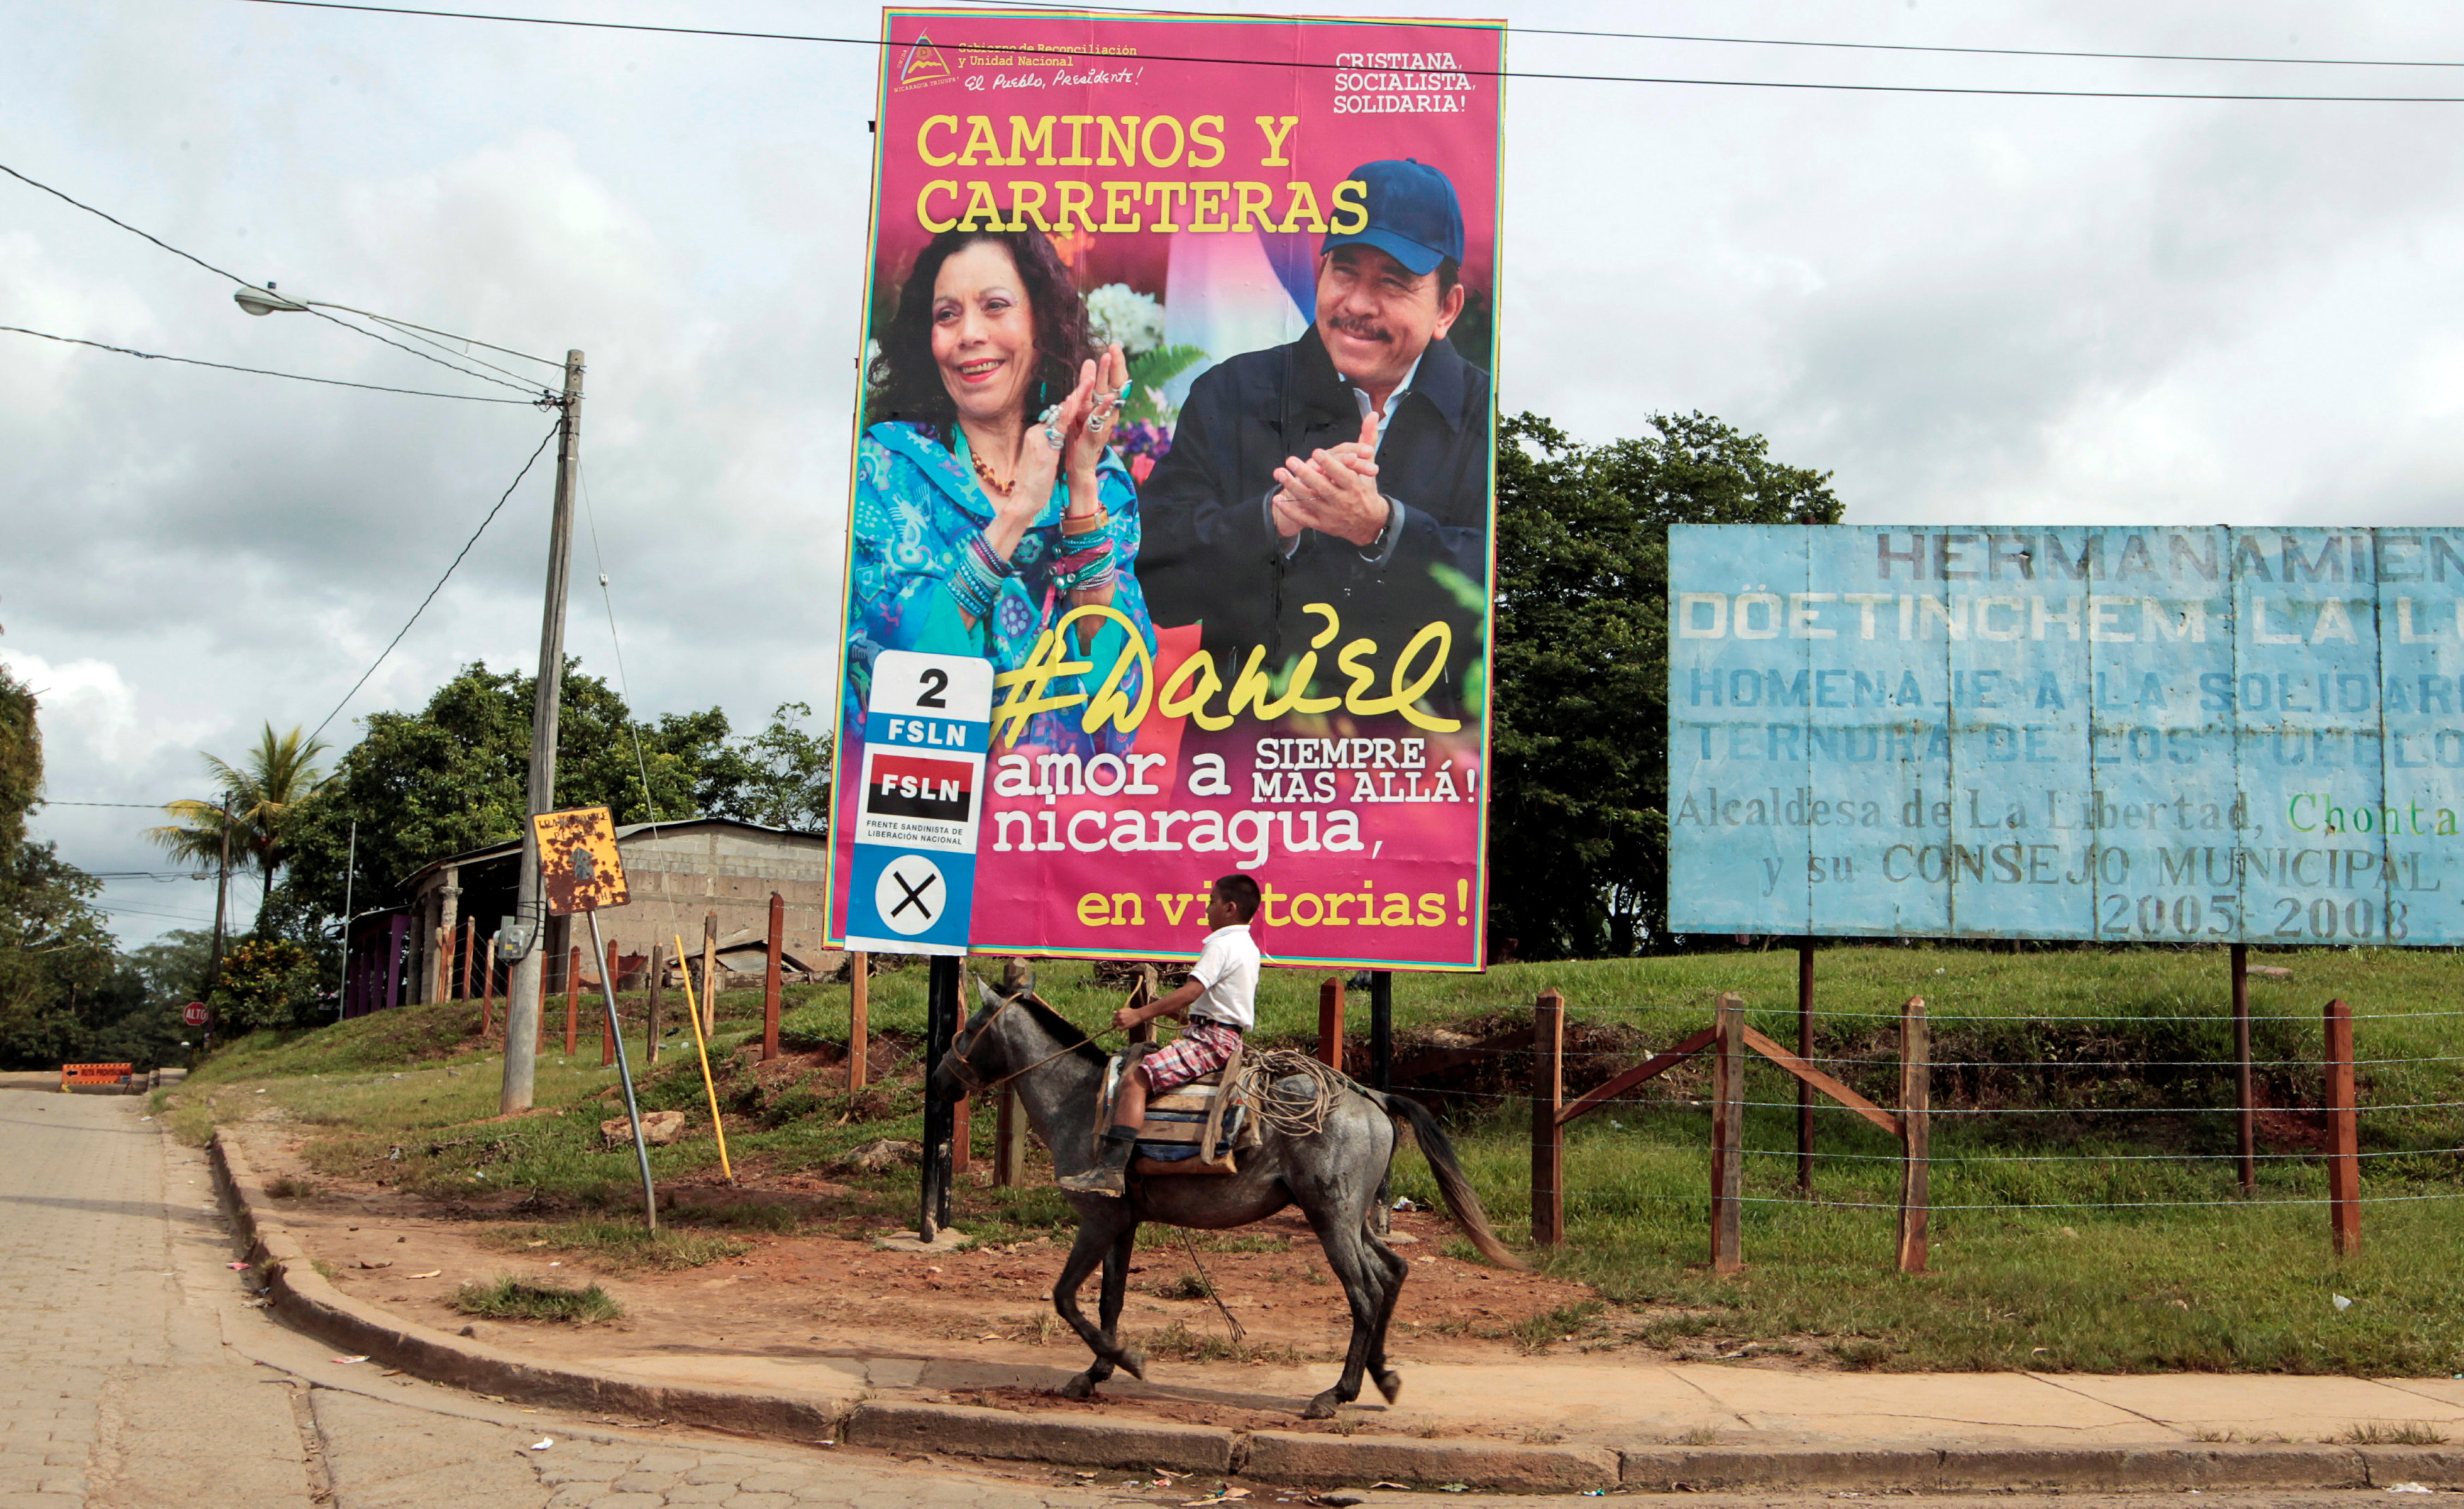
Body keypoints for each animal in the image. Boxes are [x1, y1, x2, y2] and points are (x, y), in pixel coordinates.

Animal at [936, 976, 1518, 1410]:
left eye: (969, 1027)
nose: (942, 1080)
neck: (1081, 1101)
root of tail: (1371, 1094)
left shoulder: (1098, 1219)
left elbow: (1064, 1295)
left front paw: (1126, 1360)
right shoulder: (1123, 1222)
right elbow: (1109, 1298)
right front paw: (1098, 1369)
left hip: (1331, 1218)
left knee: (1366, 1291)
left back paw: (1337, 1392)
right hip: (1351, 1217)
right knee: (1392, 1272)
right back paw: (1382, 1373)